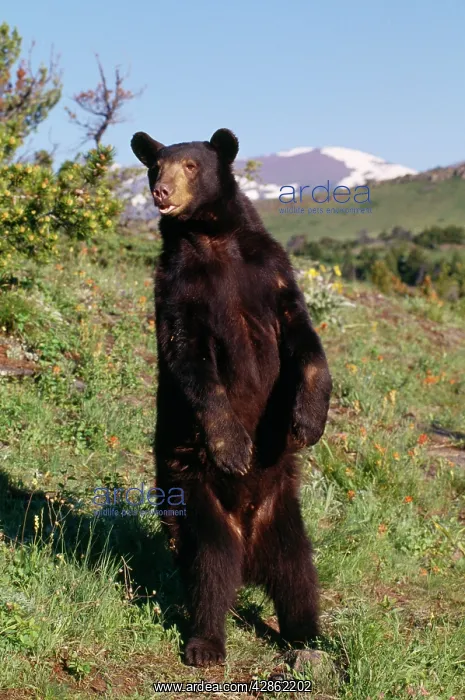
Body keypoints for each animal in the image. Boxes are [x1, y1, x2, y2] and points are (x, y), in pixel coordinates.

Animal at [131, 128, 332, 667]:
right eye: (155, 165)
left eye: (191, 165)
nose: (161, 191)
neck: (213, 240)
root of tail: (249, 548)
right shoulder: (177, 290)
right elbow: (191, 361)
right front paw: (235, 446)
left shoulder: (271, 272)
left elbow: (304, 337)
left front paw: (309, 421)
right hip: (195, 494)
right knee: (210, 569)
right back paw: (205, 642)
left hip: (283, 512)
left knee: (298, 572)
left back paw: (308, 636)